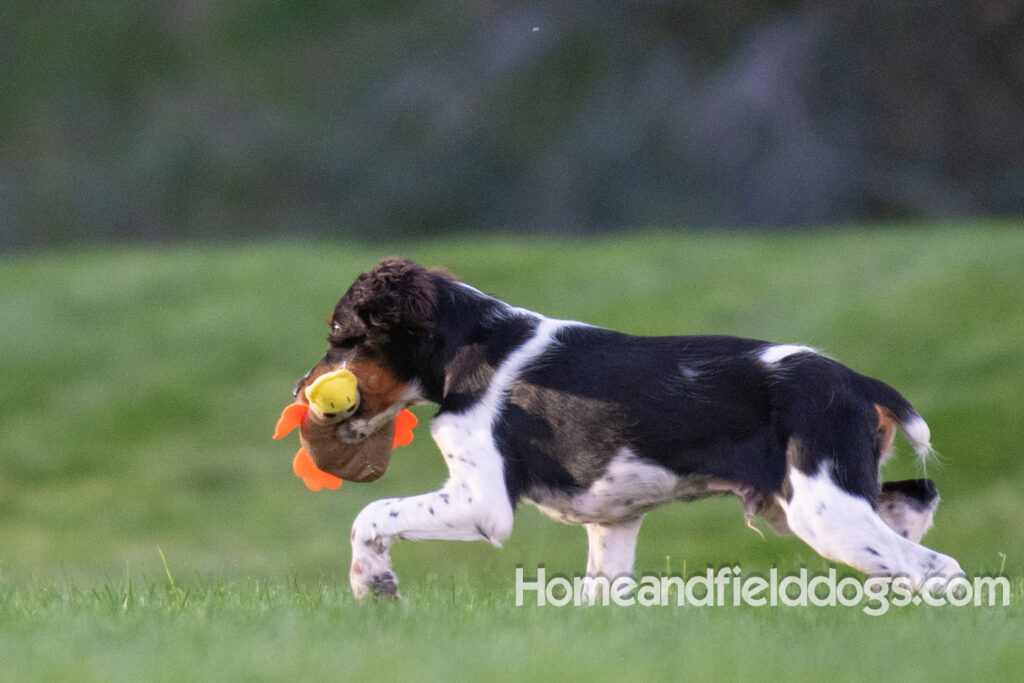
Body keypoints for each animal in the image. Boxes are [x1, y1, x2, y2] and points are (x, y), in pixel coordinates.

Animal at [294, 255, 958, 598]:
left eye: (340, 336)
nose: (302, 391)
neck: (473, 345)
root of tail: (858, 381)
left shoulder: (482, 501)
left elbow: (372, 515)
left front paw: (372, 582)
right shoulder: (612, 524)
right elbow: (599, 592)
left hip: (824, 511)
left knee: (937, 567)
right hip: (821, 497)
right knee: (917, 505)